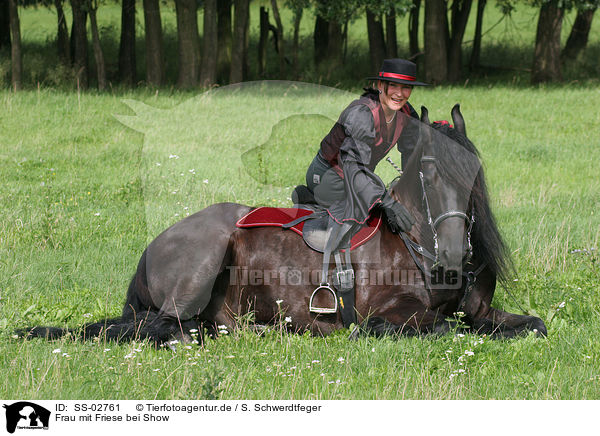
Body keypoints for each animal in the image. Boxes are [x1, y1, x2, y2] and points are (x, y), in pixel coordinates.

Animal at [21, 106, 548, 344]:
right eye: (431, 173)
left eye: (473, 173)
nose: (456, 255)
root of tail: (155, 243)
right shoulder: (388, 316)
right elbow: (442, 329)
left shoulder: (481, 311)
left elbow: (532, 325)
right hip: (201, 263)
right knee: (166, 327)